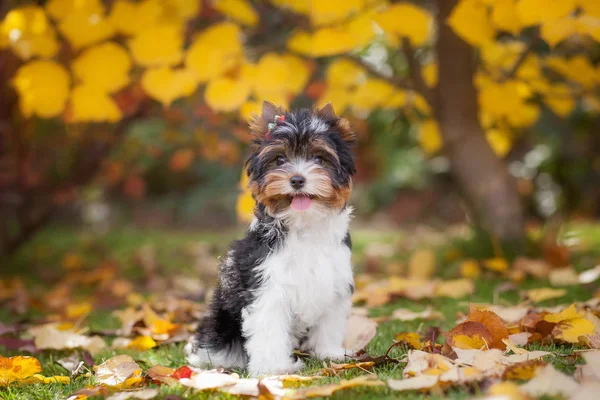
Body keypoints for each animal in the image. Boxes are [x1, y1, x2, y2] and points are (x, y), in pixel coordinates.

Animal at [186, 100, 356, 376]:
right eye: (280, 159)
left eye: (319, 158)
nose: (297, 179)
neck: (302, 224)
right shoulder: (266, 284)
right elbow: (269, 328)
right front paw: (273, 368)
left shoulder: (334, 279)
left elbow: (329, 322)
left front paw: (330, 353)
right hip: (222, 324)